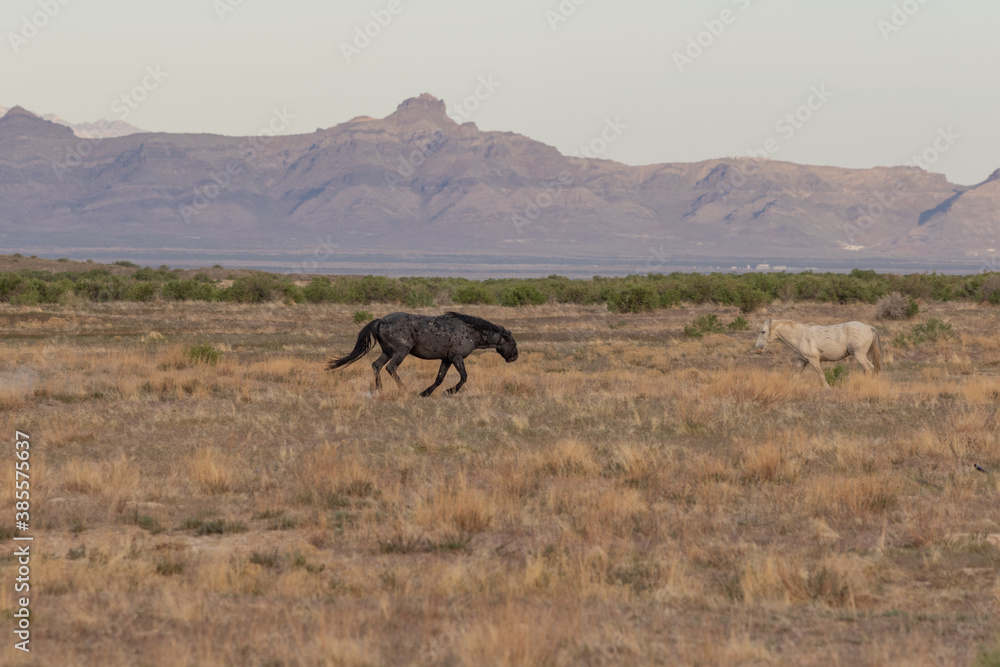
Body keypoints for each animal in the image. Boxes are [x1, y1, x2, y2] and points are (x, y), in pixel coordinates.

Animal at [326, 312, 519, 396]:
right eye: (513, 342)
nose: (514, 357)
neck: (470, 331)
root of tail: (380, 321)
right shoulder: (456, 358)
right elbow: (464, 377)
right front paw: (450, 391)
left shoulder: (446, 359)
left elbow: (439, 378)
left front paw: (425, 392)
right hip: (400, 352)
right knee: (391, 368)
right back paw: (403, 388)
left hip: (387, 352)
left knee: (376, 365)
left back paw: (379, 389)